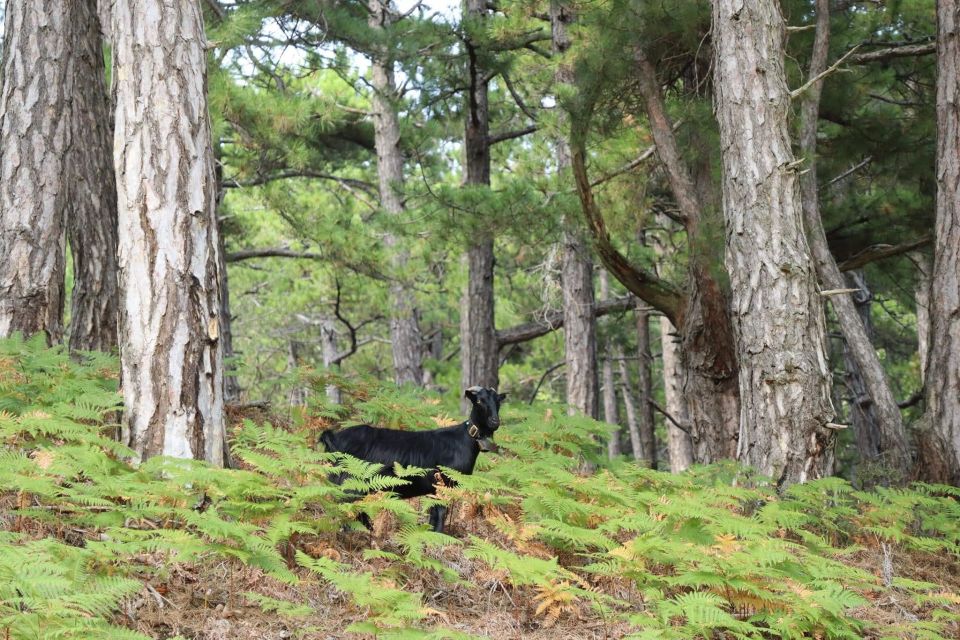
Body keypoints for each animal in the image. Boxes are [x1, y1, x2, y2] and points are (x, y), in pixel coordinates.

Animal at [318, 388, 506, 532]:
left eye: (498, 402)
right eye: (479, 401)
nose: (494, 421)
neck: (464, 439)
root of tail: (333, 438)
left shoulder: (434, 489)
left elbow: (433, 515)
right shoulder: (443, 484)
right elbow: (440, 514)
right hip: (350, 484)